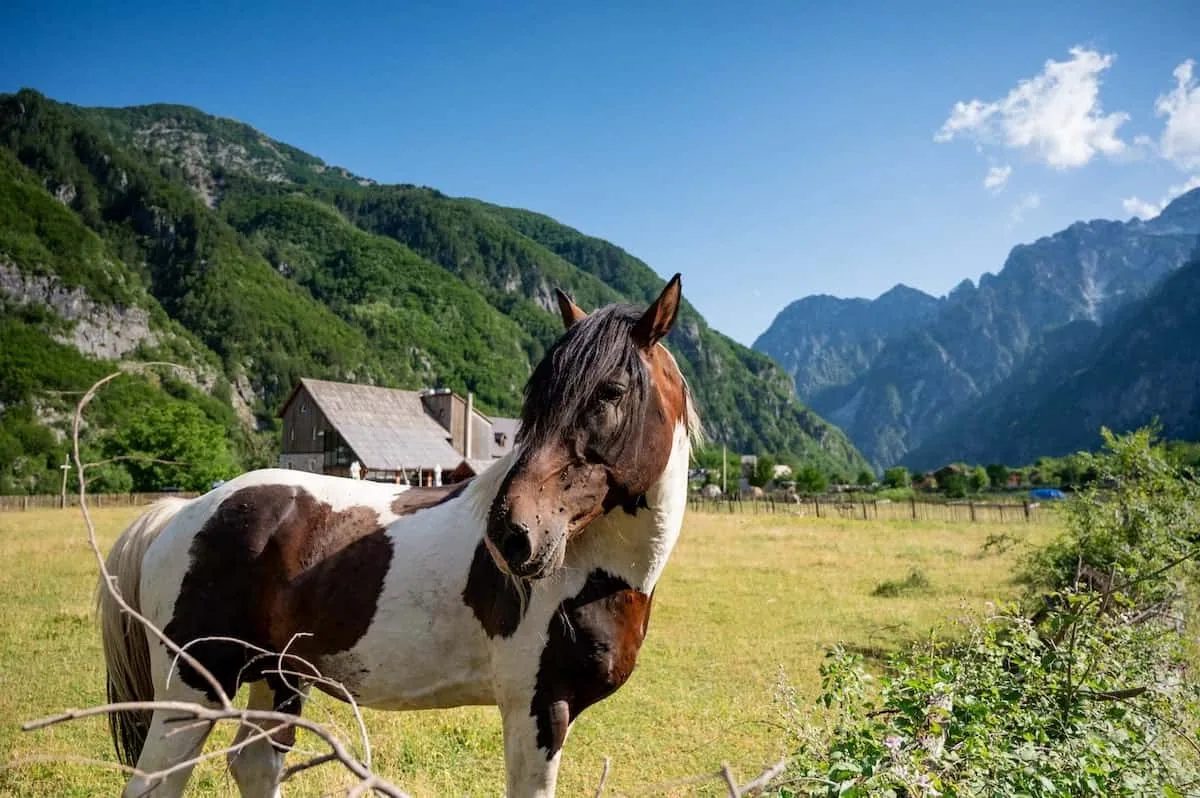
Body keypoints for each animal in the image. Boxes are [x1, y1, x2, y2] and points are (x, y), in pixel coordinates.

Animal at [97, 275, 701, 798]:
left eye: (611, 391)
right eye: (537, 399)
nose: (511, 535)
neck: (589, 572)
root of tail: (183, 513)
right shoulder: (536, 709)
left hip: (277, 676)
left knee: (254, 763)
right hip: (193, 689)